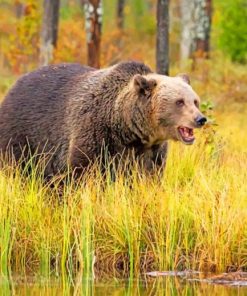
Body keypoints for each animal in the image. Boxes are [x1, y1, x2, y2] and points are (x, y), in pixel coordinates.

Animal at [0, 61, 206, 178]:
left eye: (195, 101)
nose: (200, 119)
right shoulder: (94, 133)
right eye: (179, 102)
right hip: (22, 134)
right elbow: (81, 171)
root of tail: (15, 85)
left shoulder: (151, 152)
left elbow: (149, 176)